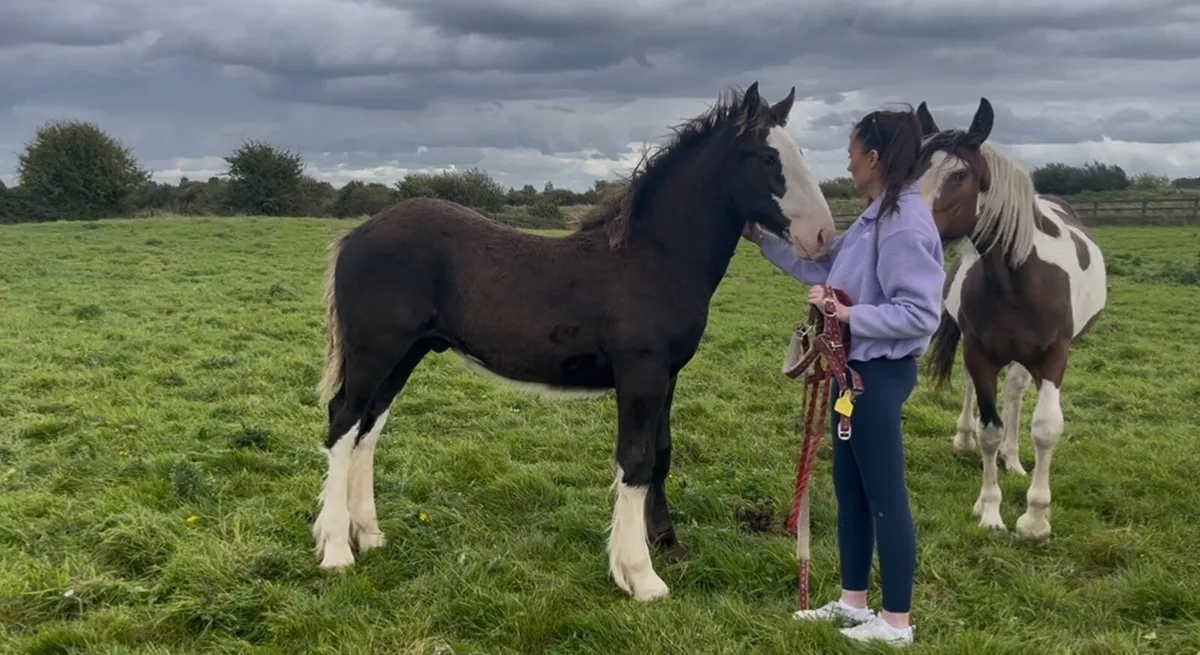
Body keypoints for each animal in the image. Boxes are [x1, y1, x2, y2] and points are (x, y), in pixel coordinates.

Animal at [310, 82, 838, 600]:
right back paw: (336, 550)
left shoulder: (667, 376)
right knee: (343, 422)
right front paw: (639, 575)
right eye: (767, 158)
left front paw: (668, 545)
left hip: (405, 353)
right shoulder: (641, 373)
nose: (822, 236)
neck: (653, 258)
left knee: (369, 428)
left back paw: (369, 535)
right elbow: (635, 462)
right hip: (374, 352)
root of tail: (356, 234)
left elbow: (661, 456)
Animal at [914, 97, 1107, 540]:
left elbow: (1046, 427)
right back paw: (966, 440)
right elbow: (989, 429)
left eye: (960, 174)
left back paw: (1015, 459)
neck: (1018, 278)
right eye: (913, 167)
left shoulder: (1055, 355)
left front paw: (1035, 519)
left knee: (1017, 393)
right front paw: (989, 509)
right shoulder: (979, 352)